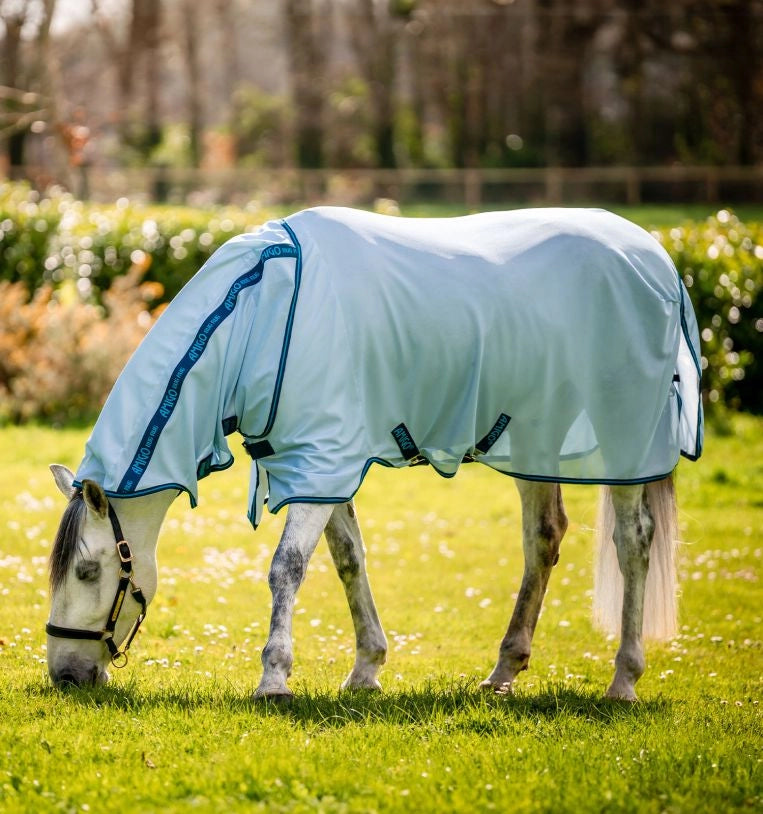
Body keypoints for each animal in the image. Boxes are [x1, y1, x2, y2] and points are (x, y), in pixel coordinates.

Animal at [46, 207, 704, 704]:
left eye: (87, 571)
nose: (65, 675)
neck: (262, 312)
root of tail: (659, 260)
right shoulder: (319, 465)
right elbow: (348, 560)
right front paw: (366, 668)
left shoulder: (322, 460)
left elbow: (286, 568)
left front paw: (274, 678)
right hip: (536, 442)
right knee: (544, 538)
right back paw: (503, 673)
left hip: (623, 447)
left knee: (633, 543)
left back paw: (624, 680)